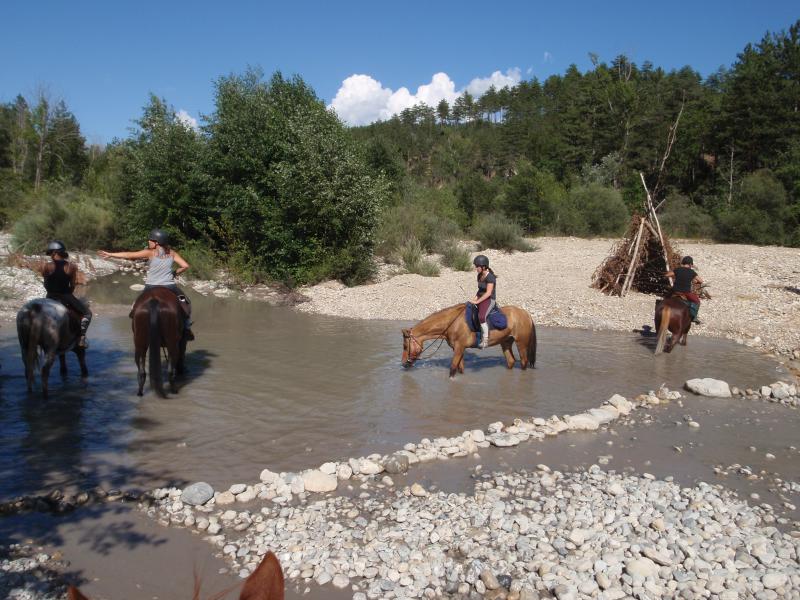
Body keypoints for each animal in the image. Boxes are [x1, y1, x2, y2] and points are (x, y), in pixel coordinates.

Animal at [400, 302, 536, 378]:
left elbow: (453, 369)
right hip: (506, 342)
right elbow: (460, 368)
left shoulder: (459, 348)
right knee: (511, 361)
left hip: (521, 343)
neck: (452, 323)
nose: (403, 363)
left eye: (405, 346)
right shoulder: (458, 349)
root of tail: (526, 314)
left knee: (523, 362)